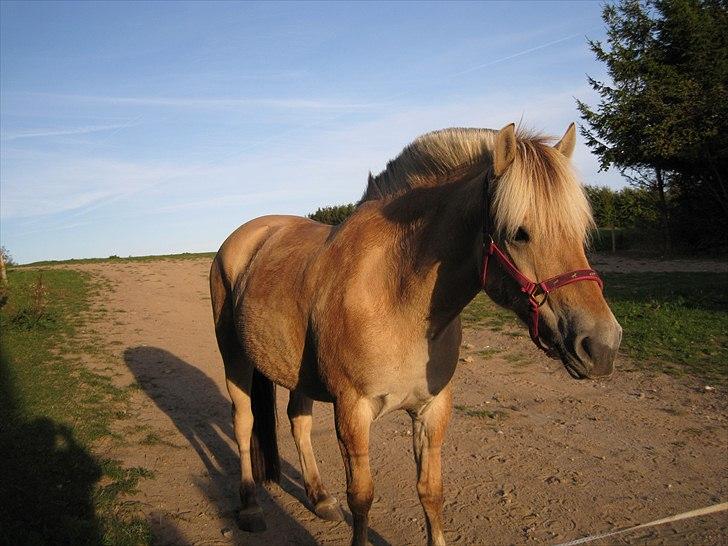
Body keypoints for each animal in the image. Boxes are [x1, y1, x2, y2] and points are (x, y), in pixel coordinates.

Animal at [209, 123, 620, 544]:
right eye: (520, 233)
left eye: (580, 231)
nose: (602, 345)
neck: (396, 295)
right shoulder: (352, 412)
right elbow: (362, 498)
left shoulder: (431, 410)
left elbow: (431, 492)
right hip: (234, 357)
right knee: (244, 423)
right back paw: (250, 506)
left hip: (298, 375)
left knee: (298, 421)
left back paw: (320, 498)